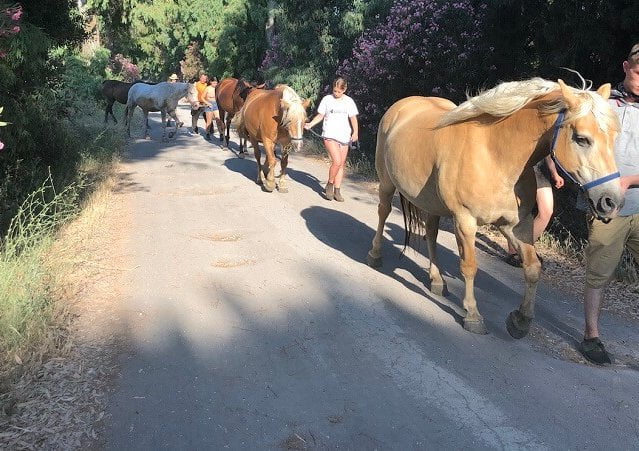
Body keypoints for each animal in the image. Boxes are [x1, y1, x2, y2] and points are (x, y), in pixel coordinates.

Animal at [368, 77, 624, 340]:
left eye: (614, 138)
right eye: (582, 138)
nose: (610, 201)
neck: (495, 156)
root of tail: (403, 105)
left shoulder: (517, 226)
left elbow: (533, 268)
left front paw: (521, 320)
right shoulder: (465, 220)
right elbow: (469, 266)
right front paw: (473, 315)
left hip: (431, 202)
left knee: (430, 233)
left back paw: (437, 281)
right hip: (387, 184)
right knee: (383, 212)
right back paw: (375, 255)